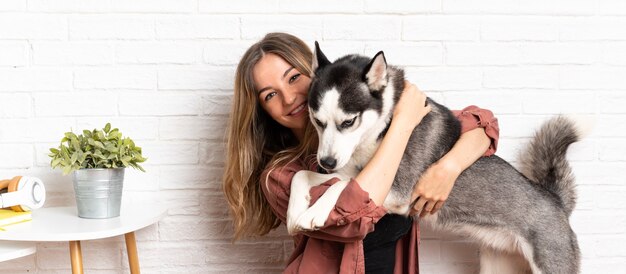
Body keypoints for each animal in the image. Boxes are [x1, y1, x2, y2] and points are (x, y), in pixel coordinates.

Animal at [286, 41, 580, 272]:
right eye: (317, 120)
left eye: (348, 122)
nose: (326, 162)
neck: (383, 126)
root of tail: (555, 200)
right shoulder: (350, 170)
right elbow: (304, 175)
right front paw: (294, 212)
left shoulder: (397, 191)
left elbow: (344, 187)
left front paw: (314, 213)